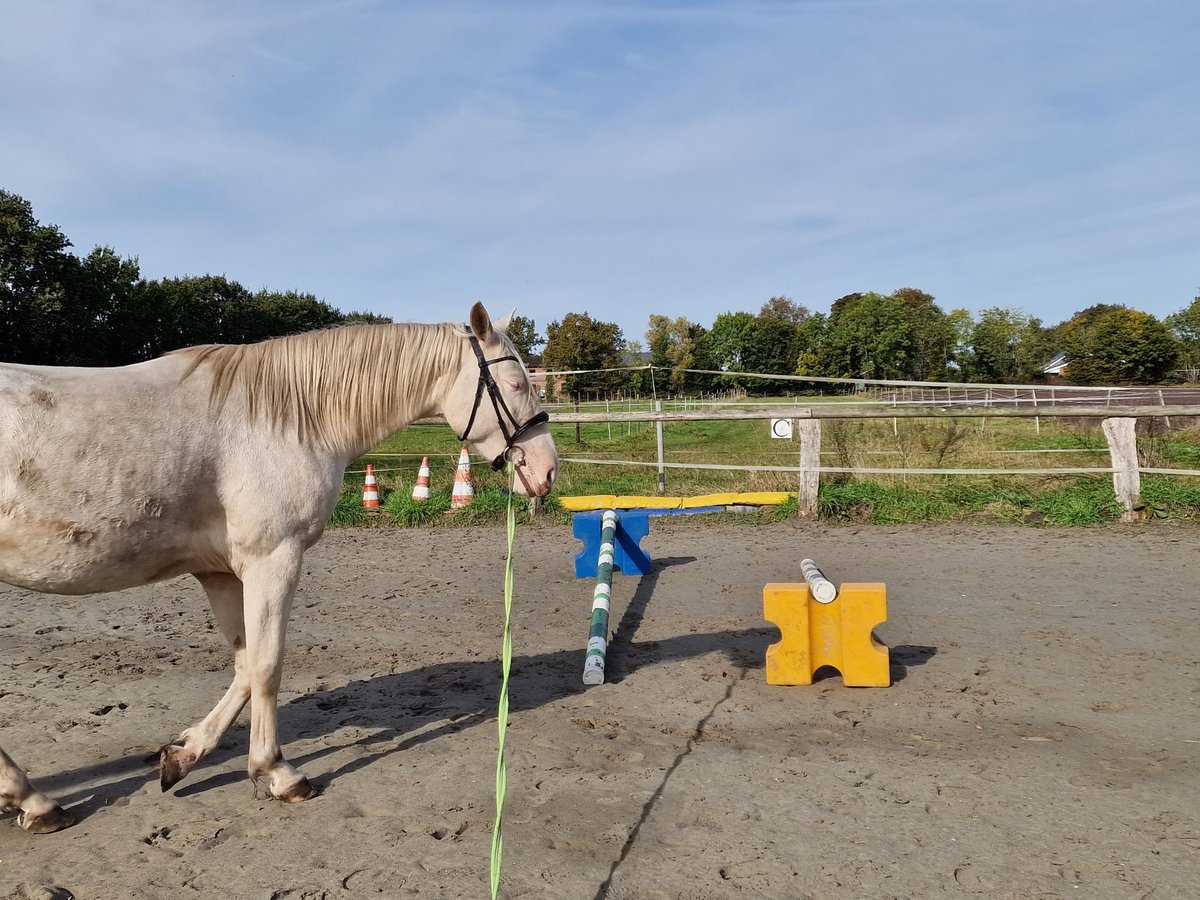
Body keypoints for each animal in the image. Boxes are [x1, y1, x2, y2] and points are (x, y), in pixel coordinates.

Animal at [0, 304, 556, 840]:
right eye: (517, 383)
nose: (547, 470)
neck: (284, 417)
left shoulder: (222, 573)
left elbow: (246, 667)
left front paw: (184, 753)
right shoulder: (273, 558)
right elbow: (267, 666)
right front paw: (277, 772)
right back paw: (33, 801)